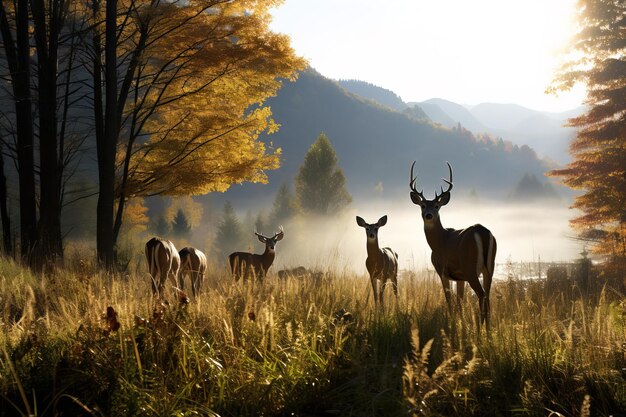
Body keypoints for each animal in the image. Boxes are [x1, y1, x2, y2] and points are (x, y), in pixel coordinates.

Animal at [408, 162, 494, 328]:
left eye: (436, 206)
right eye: (422, 205)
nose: (429, 215)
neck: (441, 241)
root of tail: (481, 231)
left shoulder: (442, 271)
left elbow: (449, 301)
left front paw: (453, 324)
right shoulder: (460, 277)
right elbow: (460, 301)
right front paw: (461, 324)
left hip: (470, 267)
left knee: (481, 294)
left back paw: (480, 329)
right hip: (489, 266)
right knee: (488, 295)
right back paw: (489, 329)